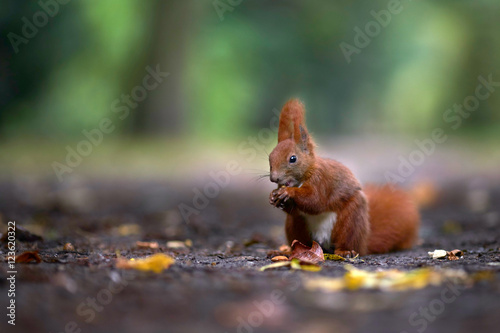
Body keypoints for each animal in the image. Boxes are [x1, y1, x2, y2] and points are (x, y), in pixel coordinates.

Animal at [268, 97, 420, 255]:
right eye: (270, 157)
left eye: (293, 159)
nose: (274, 178)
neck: (303, 178)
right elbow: (296, 208)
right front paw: (273, 196)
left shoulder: (322, 180)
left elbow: (315, 200)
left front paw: (288, 192)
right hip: (295, 225)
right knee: (300, 236)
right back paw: (290, 251)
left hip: (351, 220)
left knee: (347, 239)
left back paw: (345, 251)